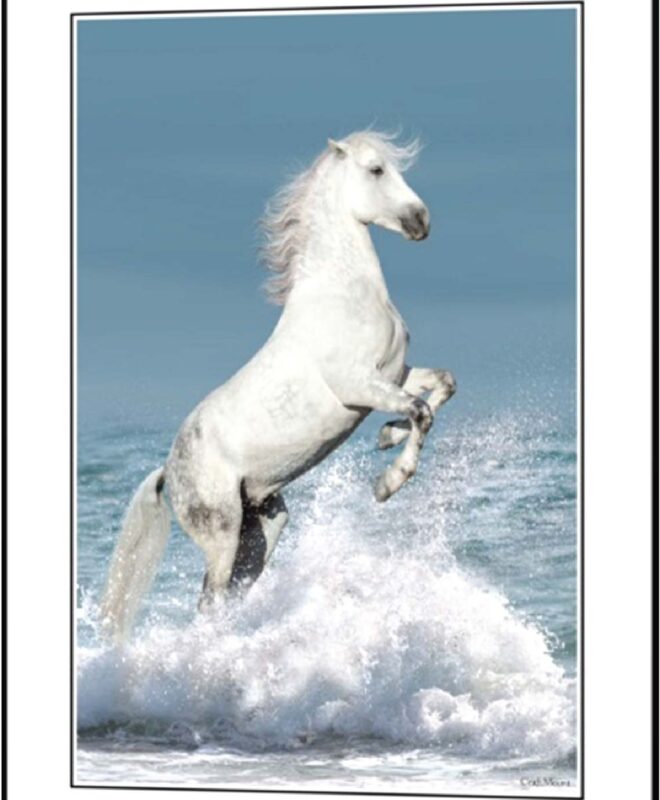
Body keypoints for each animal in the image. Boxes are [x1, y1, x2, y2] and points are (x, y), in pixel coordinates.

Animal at [99, 131, 456, 644]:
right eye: (376, 170)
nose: (420, 221)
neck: (344, 294)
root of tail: (169, 470)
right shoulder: (359, 387)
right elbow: (420, 411)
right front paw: (387, 484)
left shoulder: (393, 374)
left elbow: (441, 387)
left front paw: (387, 437)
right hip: (222, 534)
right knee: (209, 603)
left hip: (264, 527)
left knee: (228, 597)